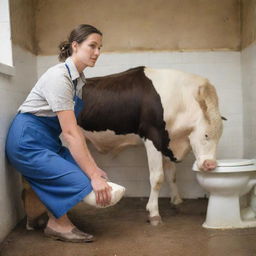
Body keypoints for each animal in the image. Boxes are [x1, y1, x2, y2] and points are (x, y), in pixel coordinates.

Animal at [22, 65, 223, 226]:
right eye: (206, 135)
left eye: (220, 135)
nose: (210, 165)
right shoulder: (152, 136)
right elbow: (157, 178)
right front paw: (154, 213)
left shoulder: (166, 141)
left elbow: (171, 175)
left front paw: (177, 201)